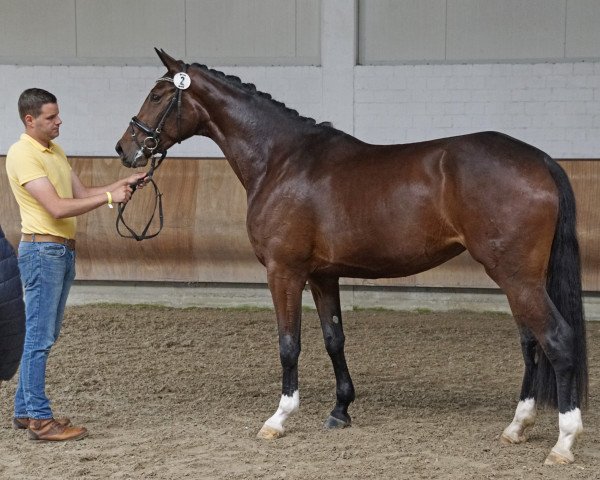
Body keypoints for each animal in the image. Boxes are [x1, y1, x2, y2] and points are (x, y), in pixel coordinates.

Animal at [115, 49, 588, 464]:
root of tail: (540, 160)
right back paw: (518, 426)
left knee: (557, 339)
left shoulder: (284, 272)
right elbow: (333, 339)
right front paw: (340, 409)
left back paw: (564, 442)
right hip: (518, 278)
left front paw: (279, 418)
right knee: (531, 343)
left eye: (157, 95)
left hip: (516, 276)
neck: (282, 160)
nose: (124, 148)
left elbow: (289, 342)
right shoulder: (323, 276)